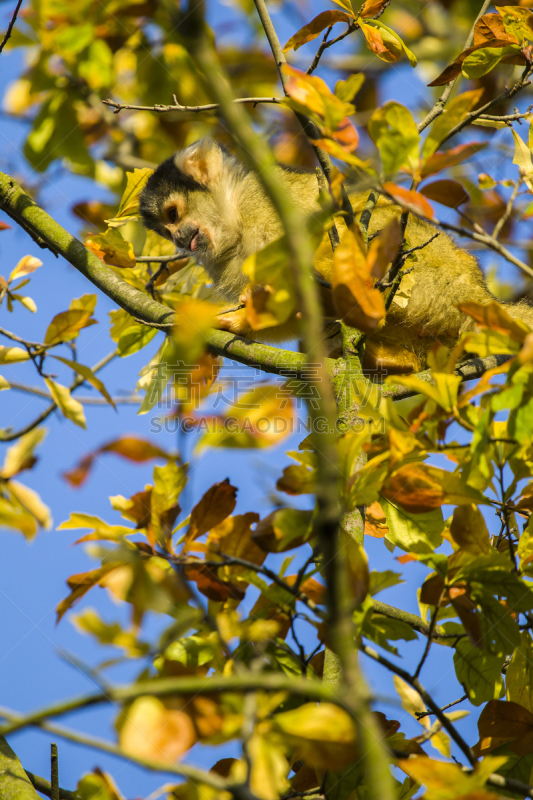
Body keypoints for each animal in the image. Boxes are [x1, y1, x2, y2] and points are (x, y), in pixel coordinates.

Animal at [138, 138, 532, 376]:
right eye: (165, 229)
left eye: (173, 214)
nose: (178, 237)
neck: (234, 219)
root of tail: (481, 295)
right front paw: (242, 319)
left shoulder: (263, 203)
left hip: (436, 283)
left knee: (373, 227)